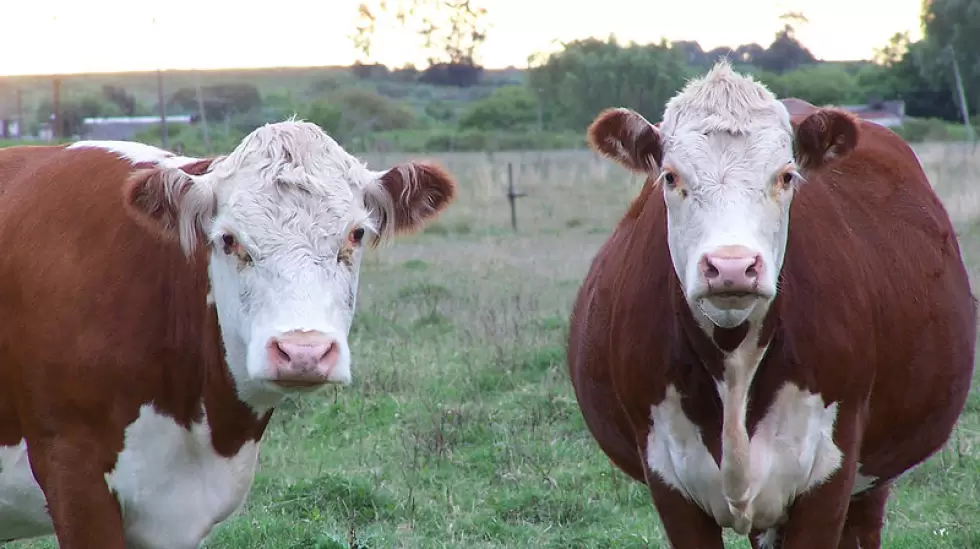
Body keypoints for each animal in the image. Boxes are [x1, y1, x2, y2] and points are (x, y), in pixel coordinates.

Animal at [568, 57, 980, 544]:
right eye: (670, 176)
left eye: (786, 176)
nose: (731, 267)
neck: (733, 363)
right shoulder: (669, 483)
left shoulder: (830, 476)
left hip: (871, 480)